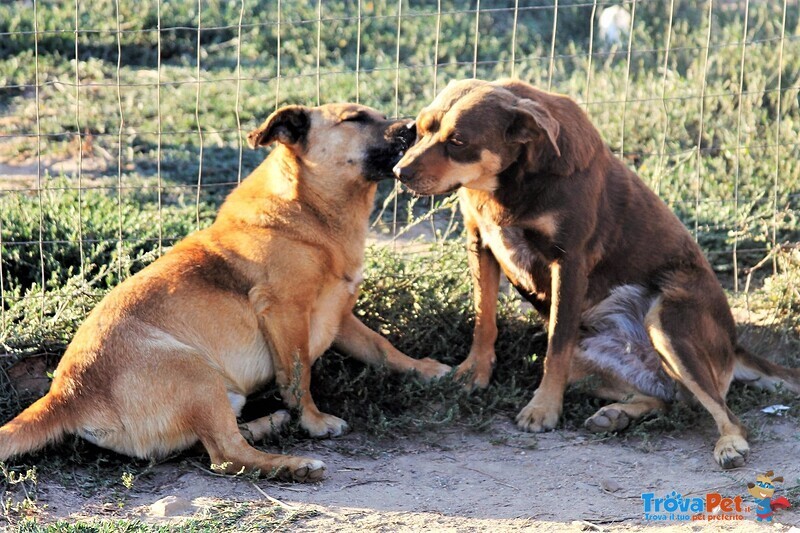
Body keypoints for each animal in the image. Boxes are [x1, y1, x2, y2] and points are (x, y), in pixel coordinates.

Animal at [0, 102, 450, 480]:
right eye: (354, 118)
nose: (415, 127)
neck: (308, 211)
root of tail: (65, 395)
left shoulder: (338, 316)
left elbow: (382, 348)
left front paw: (426, 370)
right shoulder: (285, 312)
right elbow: (299, 377)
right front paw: (314, 422)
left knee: (220, 444)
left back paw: (270, 424)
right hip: (199, 375)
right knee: (225, 456)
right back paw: (294, 464)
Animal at [394, 78, 800, 466]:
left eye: (458, 141)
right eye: (420, 128)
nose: (399, 172)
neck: (512, 181)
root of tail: (734, 346)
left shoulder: (568, 262)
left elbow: (555, 344)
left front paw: (543, 408)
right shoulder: (480, 242)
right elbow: (484, 319)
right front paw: (474, 373)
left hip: (668, 323)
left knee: (724, 414)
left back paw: (728, 444)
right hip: (591, 360)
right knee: (671, 398)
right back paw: (618, 415)